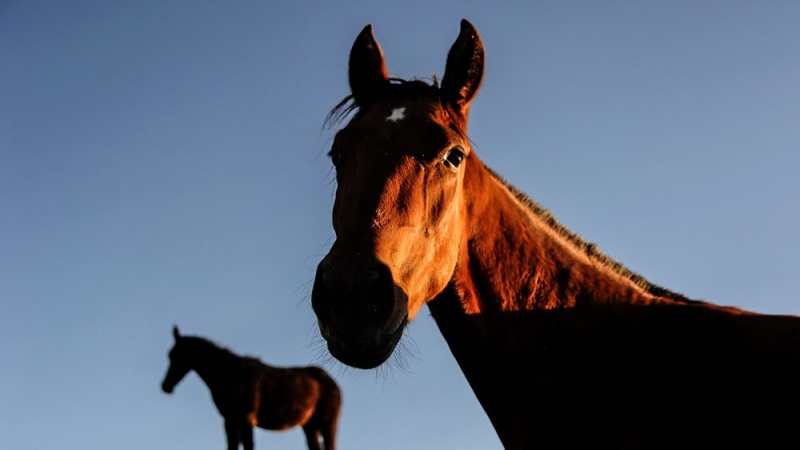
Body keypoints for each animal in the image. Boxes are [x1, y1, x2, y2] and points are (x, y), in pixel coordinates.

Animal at [161, 326, 340, 450]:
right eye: (169, 355)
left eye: (177, 355)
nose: (165, 386)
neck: (230, 374)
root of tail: (334, 385)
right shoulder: (230, 420)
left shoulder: (246, 419)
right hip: (310, 427)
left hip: (327, 424)